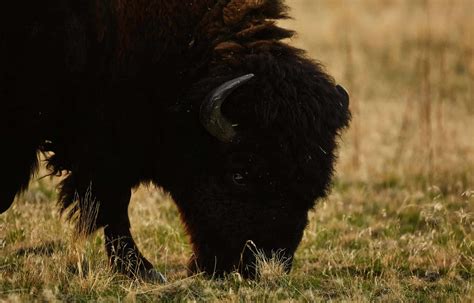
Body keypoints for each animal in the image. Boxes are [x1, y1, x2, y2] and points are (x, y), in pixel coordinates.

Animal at [0, 0, 348, 282]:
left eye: (314, 186)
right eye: (239, 174)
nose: (263, 267)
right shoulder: (100, 145)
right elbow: (111, 204)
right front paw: (144, 271)